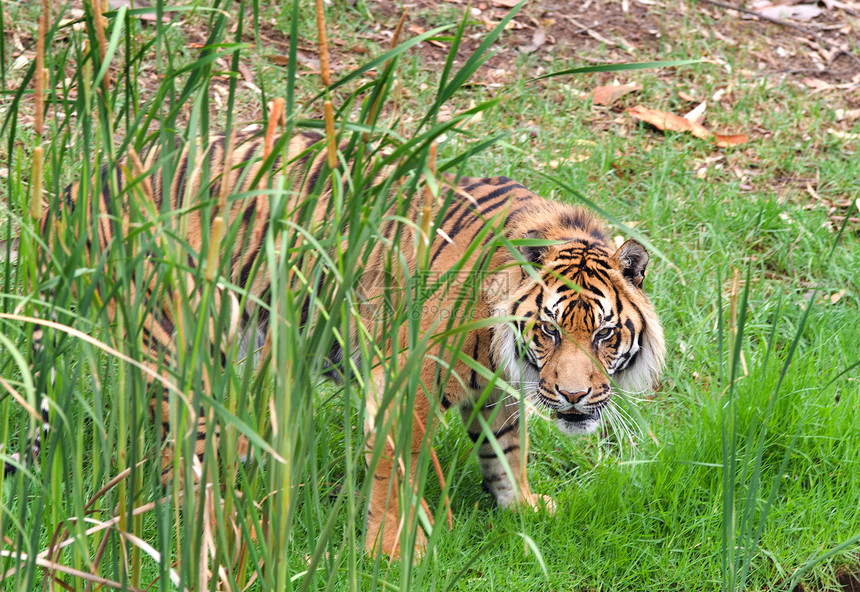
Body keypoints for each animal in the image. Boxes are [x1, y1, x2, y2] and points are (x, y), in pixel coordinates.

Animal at [3, 127, 668, 556]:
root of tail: (90, 181)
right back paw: (225, 532)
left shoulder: (497, 384)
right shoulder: (405, 376)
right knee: (181, 461)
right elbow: (395, 468)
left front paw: (523, 507)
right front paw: (392, 550)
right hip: (183, 345)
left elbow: (508, 448)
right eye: (549, 330)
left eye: (604, 334)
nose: (576, 398)